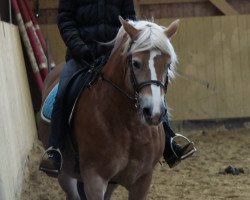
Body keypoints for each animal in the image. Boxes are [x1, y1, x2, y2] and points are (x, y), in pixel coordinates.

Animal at [38, 17, 180, 200]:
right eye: (136, 63)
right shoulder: (94, 179)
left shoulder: (142, 179)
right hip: (65, 174)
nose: (154, 113)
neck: (129, 125)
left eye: (168, 64)